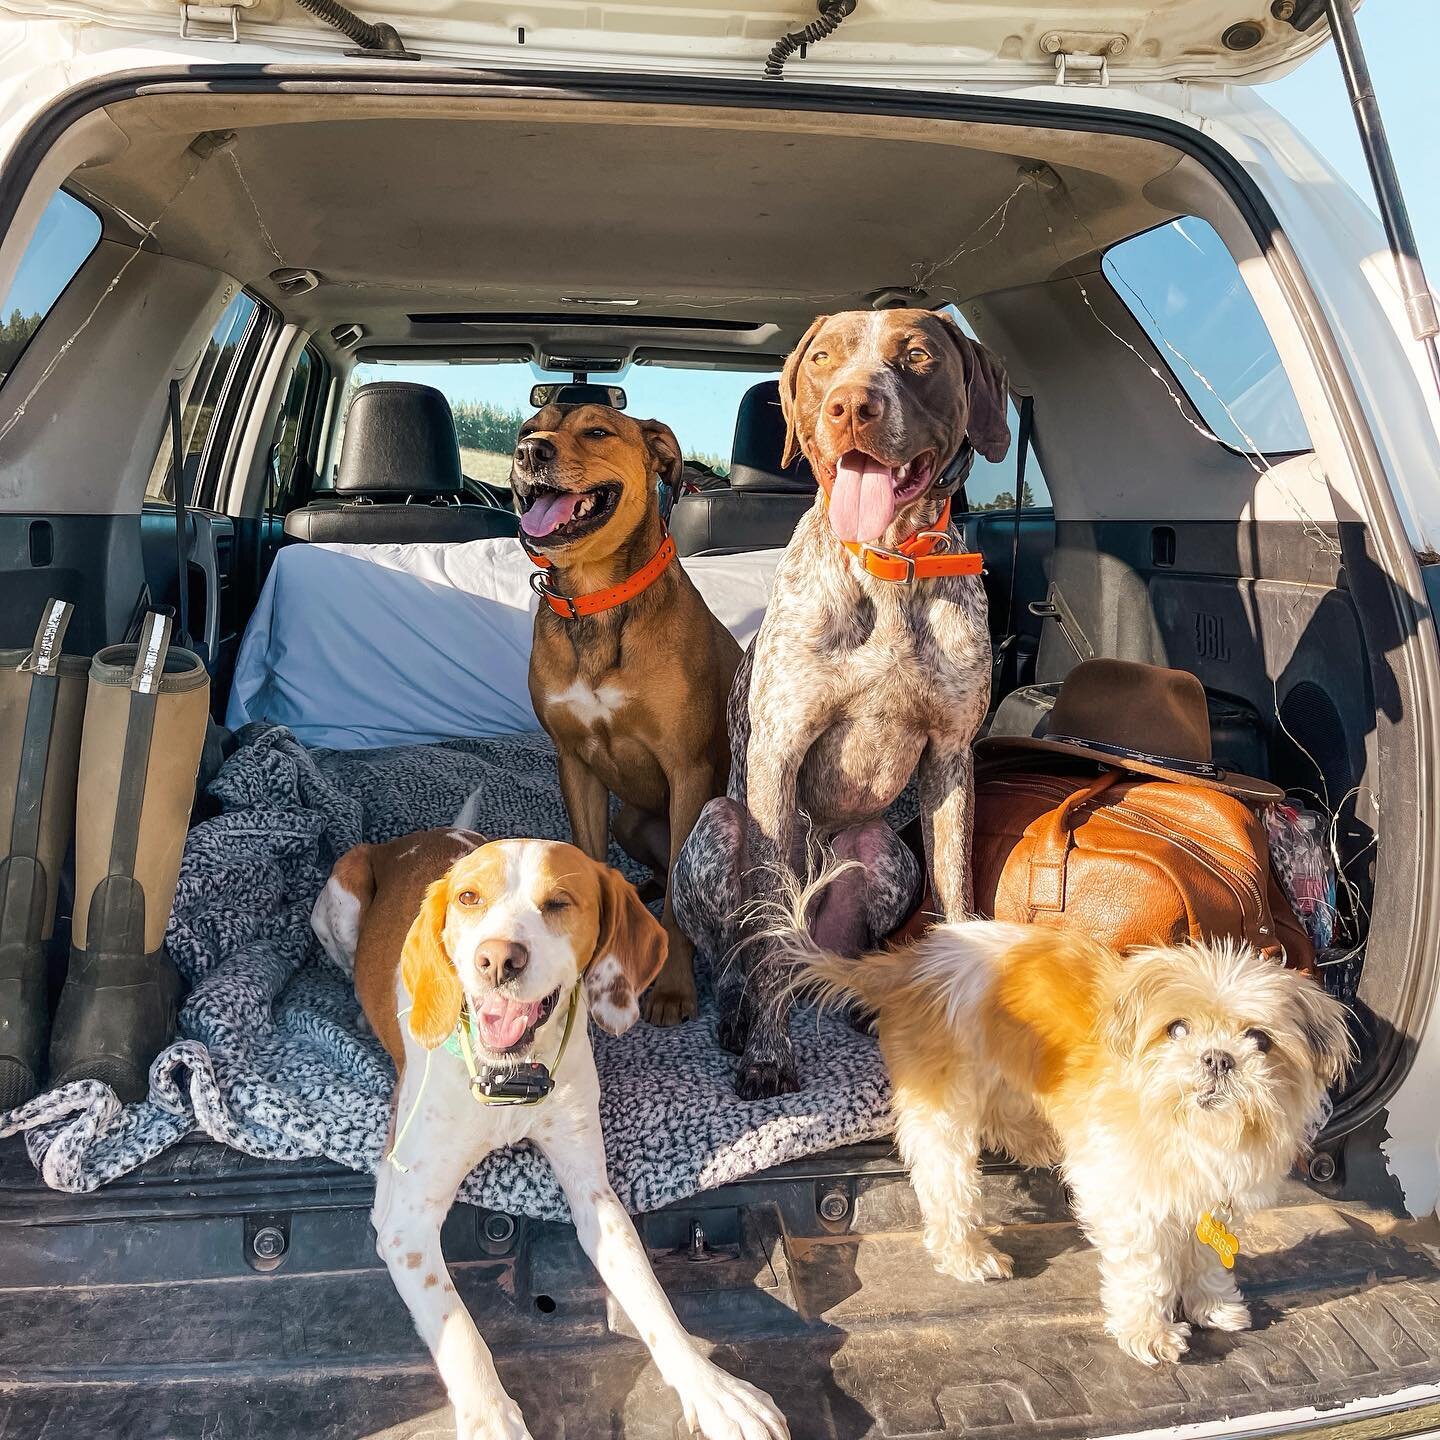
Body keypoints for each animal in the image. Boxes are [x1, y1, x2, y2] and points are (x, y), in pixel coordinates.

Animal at [312, 829, 789, 1440]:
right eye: (468, 899)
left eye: (559, 903)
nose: (496, 958)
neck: (510, 1077)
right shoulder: (405, 1221)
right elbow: (457, 1327)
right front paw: (491, 1418)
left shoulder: (594, 1192)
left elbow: (649, 1293)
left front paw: (713, 1389)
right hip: (341, 897)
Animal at [509, 403, 743, 1025]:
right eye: (526, 430)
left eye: (597, 431)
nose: (529, 452)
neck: (595, 597)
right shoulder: (575, 765)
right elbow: (586, 861)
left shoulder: (688, 772)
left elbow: (681, 909)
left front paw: (674, 989)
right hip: (628, 821)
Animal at [777, 875, 1347, 1359]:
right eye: (1177, 1029)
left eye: (1260, 1040)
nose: (1218, 1058)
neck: (1190, 1128)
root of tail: (907, 963)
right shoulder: (1124, 1195)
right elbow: (1146, 1268)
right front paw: (1149, 1331)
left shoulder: (1210, 1198)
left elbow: (1205, 1255)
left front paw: (1213, 1303)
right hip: (944, 1106)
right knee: (946, 1184)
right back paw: (968, 1254)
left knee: (998, 1118)